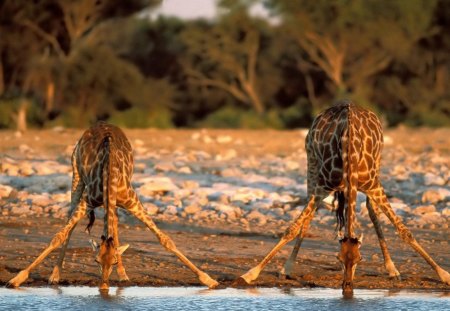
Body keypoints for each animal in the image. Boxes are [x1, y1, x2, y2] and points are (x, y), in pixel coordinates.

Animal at [6, 122, 219, 292]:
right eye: (96, 261)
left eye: (113, 261)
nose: (103, 287)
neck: (109, 173)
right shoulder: (88, 200)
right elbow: (59, 236)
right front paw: (16, 279)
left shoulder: (132, 201)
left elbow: (165, 240)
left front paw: (209, 280)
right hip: (76, 175)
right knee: (71, 222)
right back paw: (55, 275)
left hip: (112, 200)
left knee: (114, 227)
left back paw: (123, 275)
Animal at [237, 102, 448, 294]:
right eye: (338, 258)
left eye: (360, 259)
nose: (347, 288)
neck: (351, 153)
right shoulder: (322, 187)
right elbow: (292, 228)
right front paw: (250, 274)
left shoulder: (374, 186)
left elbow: (405, 231)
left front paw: (443, 274)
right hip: (312, 164)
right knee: (308, 217)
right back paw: (287, 268)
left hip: (377, 167)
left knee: (372, 211)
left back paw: (392, 270)